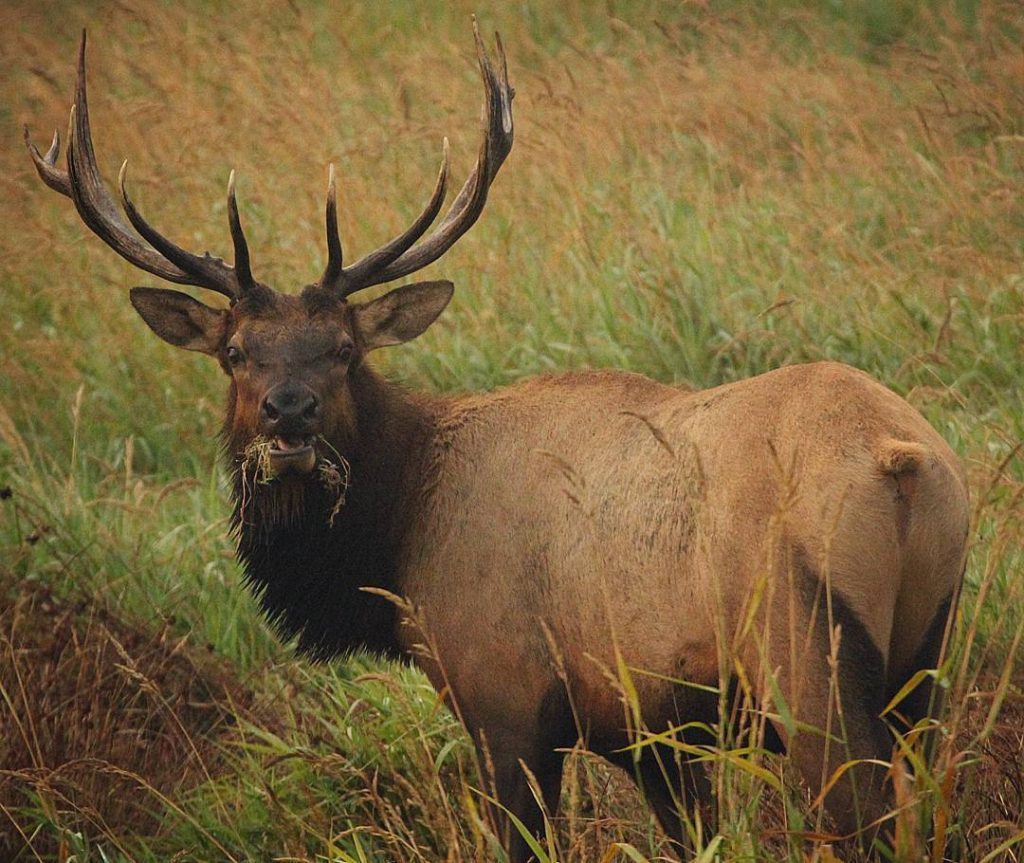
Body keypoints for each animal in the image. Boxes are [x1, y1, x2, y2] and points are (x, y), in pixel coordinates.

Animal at [24, 27, 966, 863]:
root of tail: (901, 458)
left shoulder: (505, 696)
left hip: (808, 654)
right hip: (926, 660)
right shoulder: (643, 727)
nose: (291, 414)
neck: (401, 540)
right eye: (235, 353)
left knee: (866, 817)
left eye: (344, 348)